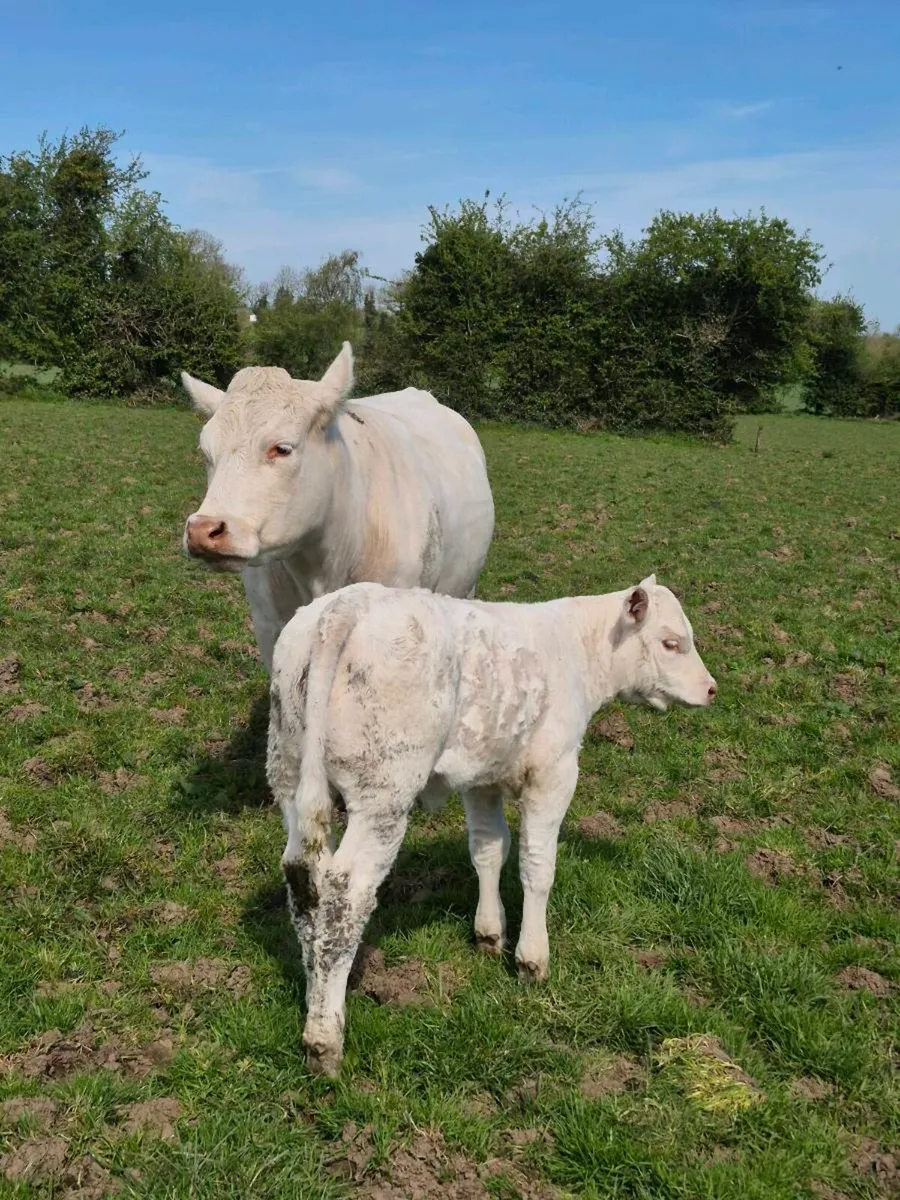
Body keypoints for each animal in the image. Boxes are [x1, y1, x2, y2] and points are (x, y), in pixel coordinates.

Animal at [266, 575, 717, 1075]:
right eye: (670, 642)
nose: (712, 689)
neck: (574, 648)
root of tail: (349, 604)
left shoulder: (480, 776)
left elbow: (487, 849)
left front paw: (489, 934)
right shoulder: (554, 773)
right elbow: (537, 865)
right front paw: (531, 960)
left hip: (288, 773)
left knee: (303, 880)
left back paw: (315, 1001)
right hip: (383, 792)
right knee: (346, 893)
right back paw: (324, 1039)